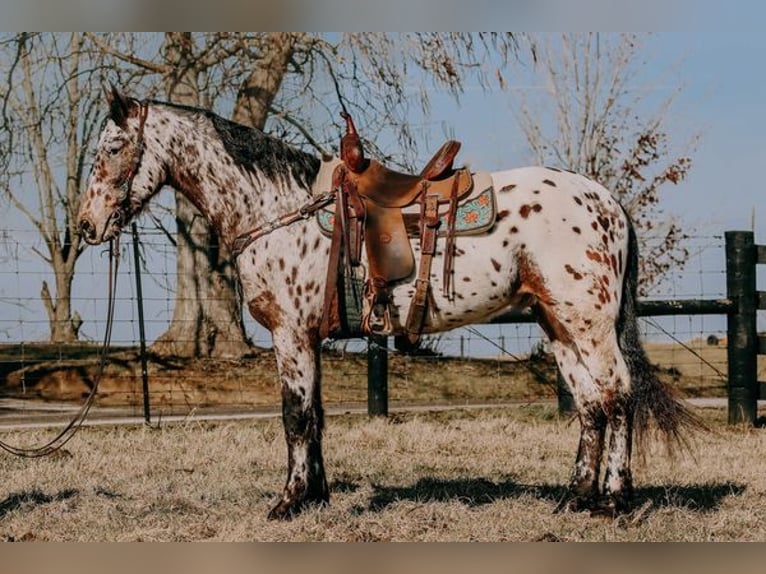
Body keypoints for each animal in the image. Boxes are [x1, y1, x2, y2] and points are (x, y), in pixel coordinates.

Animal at [76, 86, 704, 520]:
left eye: (114, 146)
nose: (86, 225)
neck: (277, 208)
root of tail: (607, 201)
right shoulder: (306, 339)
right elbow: (315, 417)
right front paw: (316, 497)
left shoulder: (290, 334)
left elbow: (294, 416)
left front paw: (287, 503)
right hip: (559, 323)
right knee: (591, 404)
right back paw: (575, 498)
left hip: (588, 322)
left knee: (618, 395)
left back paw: (614, 501)